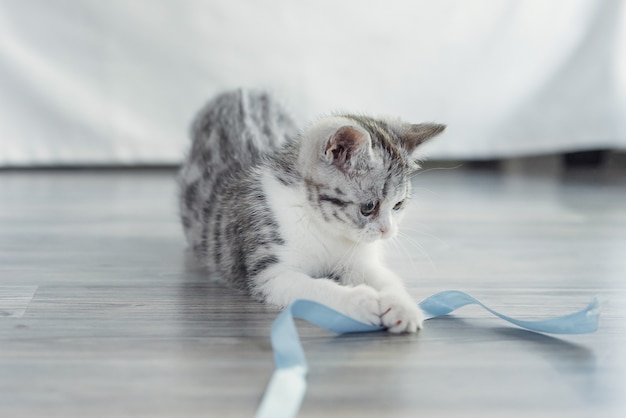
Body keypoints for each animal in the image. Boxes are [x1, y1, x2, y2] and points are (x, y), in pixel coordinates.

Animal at [178, 89, 444, 334]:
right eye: (368, 207)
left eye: (398, 205)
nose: (387, 231)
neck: (322, 226)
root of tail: (240, 91)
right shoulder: (270, 272)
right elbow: (312, 288)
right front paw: (356, 300)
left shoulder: (359, 259)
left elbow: (385, 278)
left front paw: (403, 305)